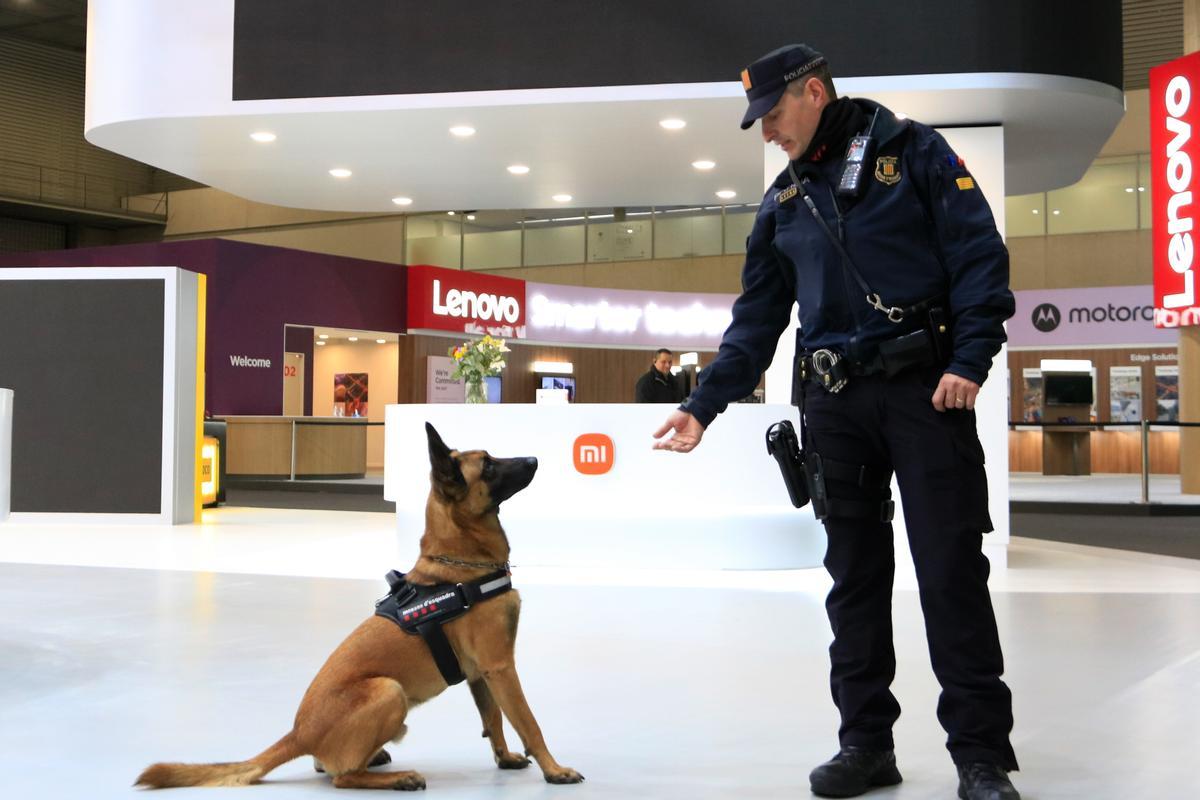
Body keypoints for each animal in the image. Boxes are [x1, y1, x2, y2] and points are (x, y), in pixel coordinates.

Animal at [137, 422, 585, 791]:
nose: (535, 459)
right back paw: (397, 777)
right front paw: (554, 769)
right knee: (341, 777)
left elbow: (494, 720)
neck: (459, 563)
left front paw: (505, 758)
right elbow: (528, 722)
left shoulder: (481, 674)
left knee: (328, 766)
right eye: (488, 466)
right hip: (388, 690)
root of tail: (299, 733)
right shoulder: (501, 666)